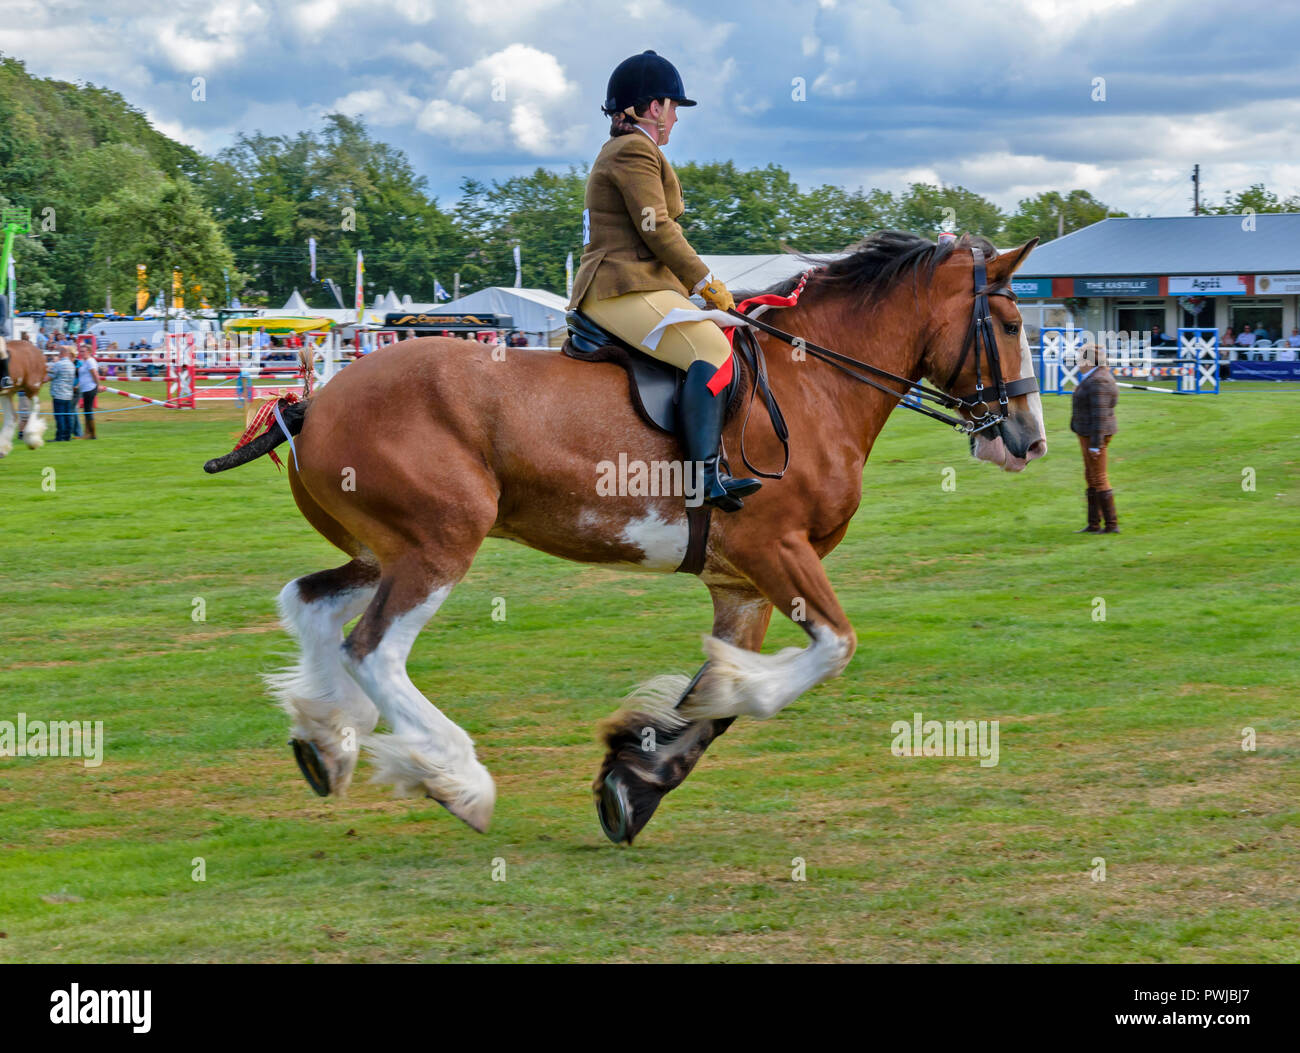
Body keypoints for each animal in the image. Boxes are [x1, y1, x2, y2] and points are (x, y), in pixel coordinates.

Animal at [204, 231, 1047, 843]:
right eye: (1009, 325)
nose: (1029, 439)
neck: (812, 386)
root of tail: (315, 401)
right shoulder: (778, 551)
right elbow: (828, 649)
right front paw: (721, 694)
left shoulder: (741, 583)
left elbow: (714, 708)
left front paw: (635, 781)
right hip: (440, 543)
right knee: (374, 648)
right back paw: (455, 777)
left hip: (383, 550)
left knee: (310, 602)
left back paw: (328, 738)